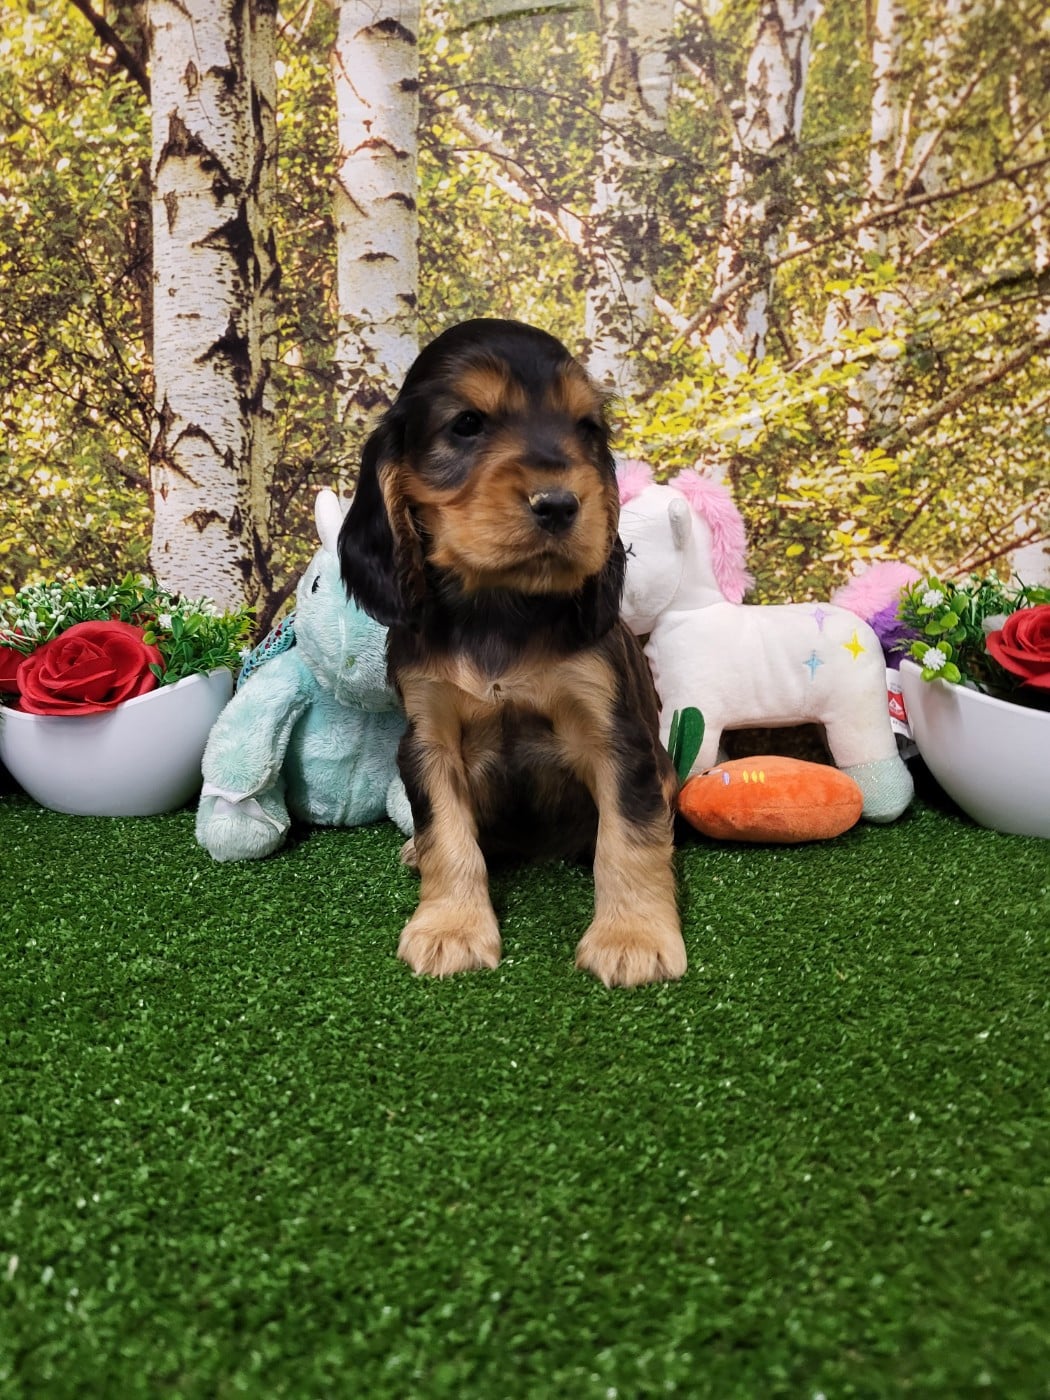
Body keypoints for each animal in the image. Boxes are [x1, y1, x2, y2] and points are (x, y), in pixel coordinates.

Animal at [338, 318, 685, 987]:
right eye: (467, 424)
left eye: (587, 429)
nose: (559, 503)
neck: (501, 607)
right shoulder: (428, 736)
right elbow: (447, 836)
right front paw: (451, 928)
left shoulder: (616, 732)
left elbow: (629, 836)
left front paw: (633, 935)